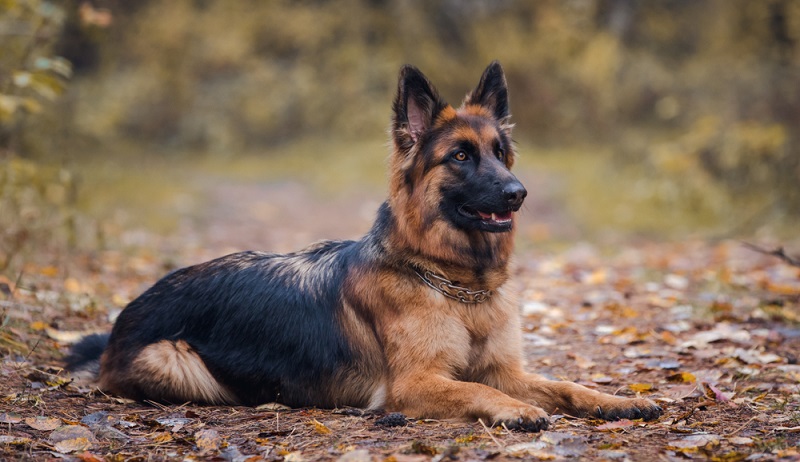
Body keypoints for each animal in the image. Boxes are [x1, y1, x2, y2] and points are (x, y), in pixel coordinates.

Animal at [70, 61, 664, 430]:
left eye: (499, 152)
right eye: (460, 157)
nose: (518, 194)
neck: (455, 285)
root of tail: (125, 316)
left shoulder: (506, 370)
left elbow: (563, 384)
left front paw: (613, 400)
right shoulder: (418, 382)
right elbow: (479, 392)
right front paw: (514, 411)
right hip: (173, 359)